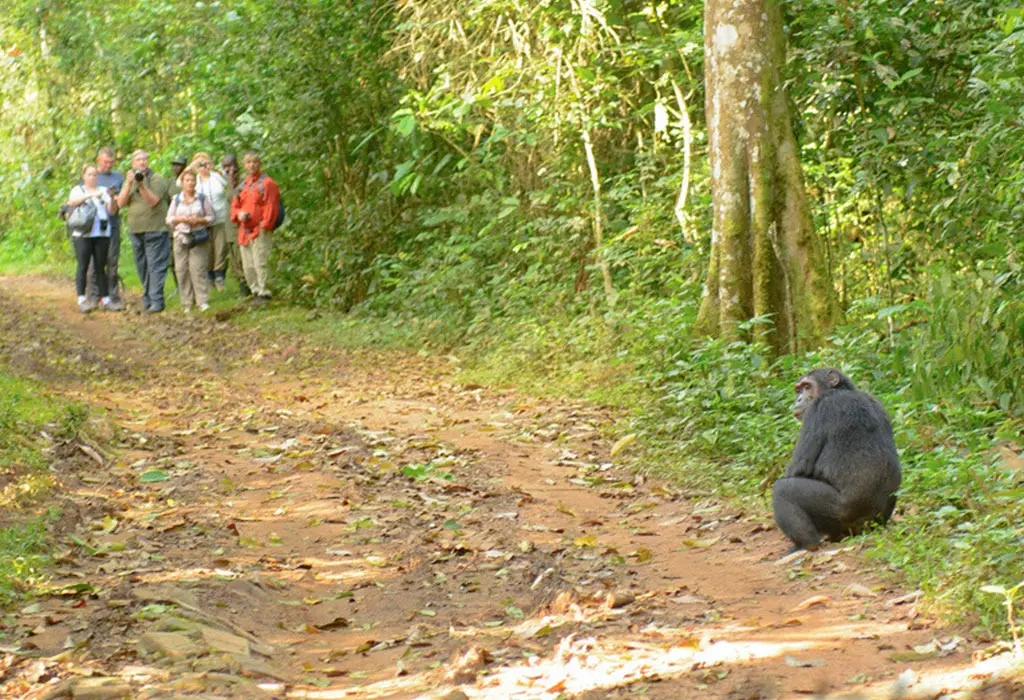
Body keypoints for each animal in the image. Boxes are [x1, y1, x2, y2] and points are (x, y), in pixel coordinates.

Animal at [772, 368, 901, 551]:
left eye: (807, 386)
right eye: (798, 389)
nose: (799, 399)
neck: (842, 390)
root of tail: (871, 527)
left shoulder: (820, 408)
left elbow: (799, 467)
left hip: (840, 514)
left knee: (783, 489)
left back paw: (806, 545)